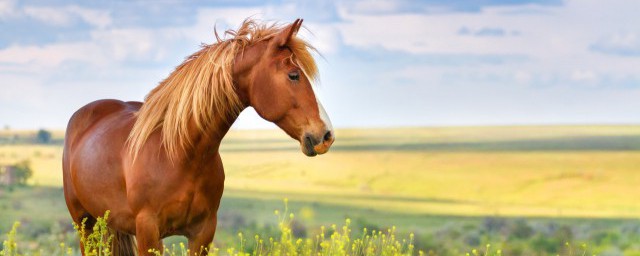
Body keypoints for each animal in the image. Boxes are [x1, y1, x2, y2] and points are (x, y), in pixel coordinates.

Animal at [62, 18, 336, 256]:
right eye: (293, 75)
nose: (326, 135)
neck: (179, 154)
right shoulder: (148, 232)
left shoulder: (203, 233)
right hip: (84, 224)